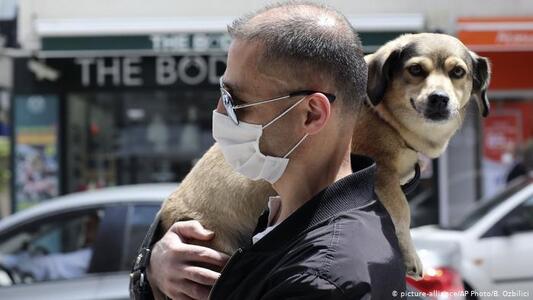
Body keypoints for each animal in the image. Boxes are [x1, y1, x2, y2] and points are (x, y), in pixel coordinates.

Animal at [159, 33, 490, 282]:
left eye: (458, 72)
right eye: (416, 70)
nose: (439, 99)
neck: (382, 115)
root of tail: (167, 212)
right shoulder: (382, 174)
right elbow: (402, 213)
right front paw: (411, 256)